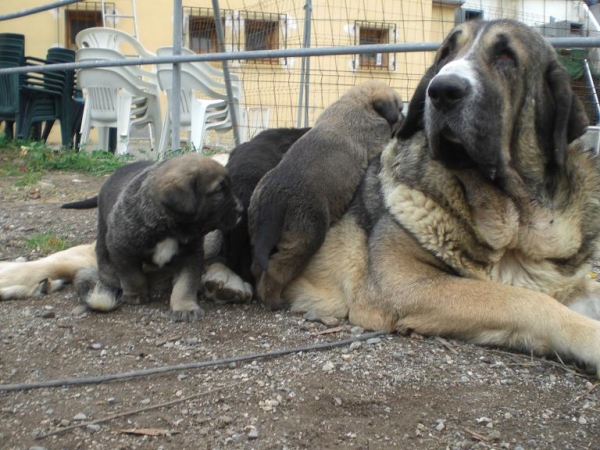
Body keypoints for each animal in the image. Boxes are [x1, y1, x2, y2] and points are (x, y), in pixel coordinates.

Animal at [81, 153, 243, 322]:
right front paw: (136, 294)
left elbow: (186, 284)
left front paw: (186, 307)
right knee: (103, 256)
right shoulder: (121, 248)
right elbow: (132, 275)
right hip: (103, 230)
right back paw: (110, 277)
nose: (241, 209)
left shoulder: (191, 256)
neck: (170, 228)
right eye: (219, 191)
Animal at [246, 80, 406, 310]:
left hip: (257, 228)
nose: (404, 117)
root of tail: (274, 198)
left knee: (258, 266)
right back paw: (274, 300)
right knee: (277, 270)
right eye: (400, 108)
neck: (356, 103)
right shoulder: (378, 136)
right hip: (306, 237)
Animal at [284, 19, 600, 372]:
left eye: (506, 56)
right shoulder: (403, 285)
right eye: (446, 52)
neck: (515, 226)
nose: (442, 90)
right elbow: (527, 300)